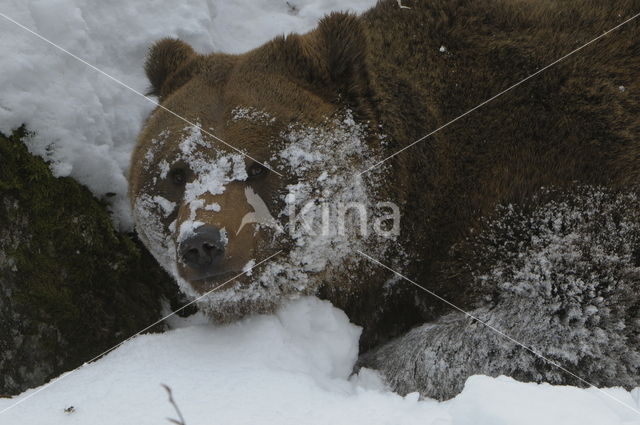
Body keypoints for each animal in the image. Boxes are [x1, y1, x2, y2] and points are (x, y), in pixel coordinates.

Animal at [130, 0, 640, 398]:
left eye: (259, 166)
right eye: (177, 173)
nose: (202, 243)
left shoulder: (560, 177)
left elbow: (572, 311)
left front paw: (372, 365)